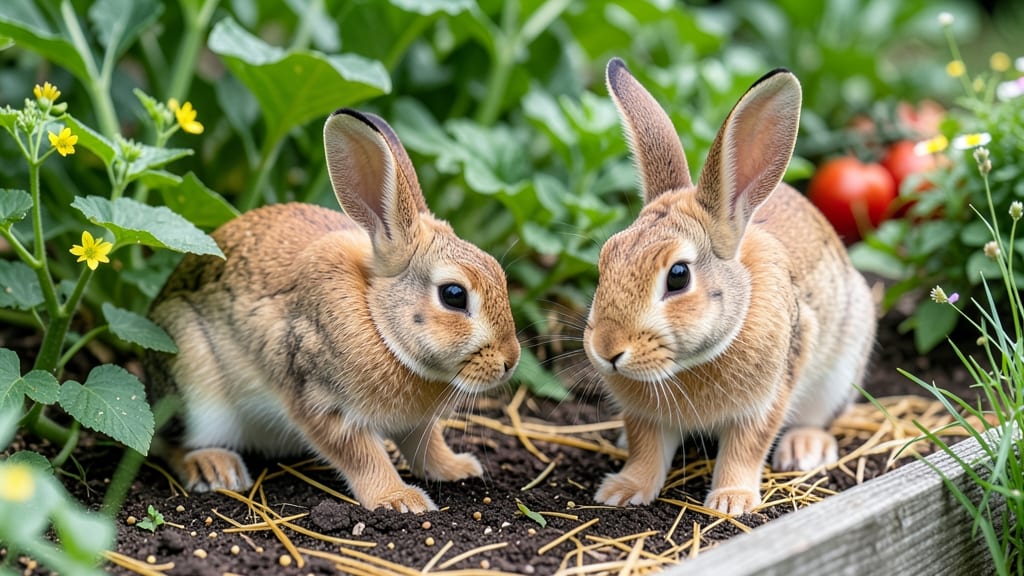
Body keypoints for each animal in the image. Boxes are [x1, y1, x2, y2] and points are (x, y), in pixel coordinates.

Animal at [144, 108, 521, 513]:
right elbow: (364, 457)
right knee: (166, 441)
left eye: (498, 274)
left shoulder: (415, 424)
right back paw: (216, 468)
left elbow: (426, 446)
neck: (378, 321)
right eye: (453, 295)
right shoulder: (321, 401)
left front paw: (456, 468)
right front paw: (400, 500)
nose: (510, 361)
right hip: (193, 383)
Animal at [582, 58, 876, 516]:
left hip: (840, 366)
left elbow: (746, 448)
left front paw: (731, 501)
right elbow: (646, 450)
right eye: (605, 259)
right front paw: (622, 491)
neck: (686, 366)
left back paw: (805, 448)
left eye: (678, 276)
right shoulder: (643, 415)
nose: (607, 350)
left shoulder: (767, 399)